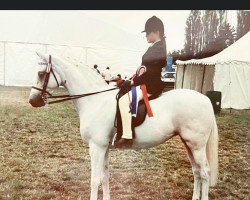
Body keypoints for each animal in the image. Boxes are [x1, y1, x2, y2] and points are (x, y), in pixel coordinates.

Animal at [28, 52, 218, 199]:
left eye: (41, 74)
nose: (32, 101)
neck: (94, 100)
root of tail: (205, 99)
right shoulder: (104, 148)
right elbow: (104, 178)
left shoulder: (96, 147)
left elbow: (94, 180)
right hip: (189, 145)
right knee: (196, 171)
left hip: (197, 146)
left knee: (205, 172)